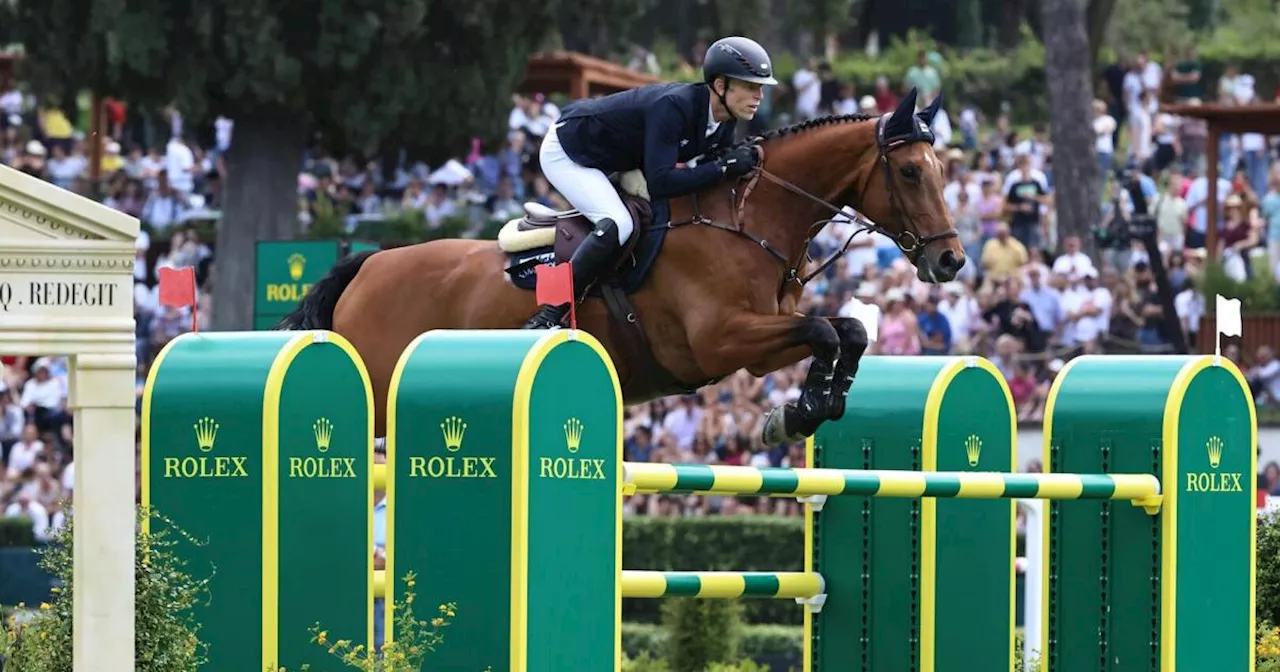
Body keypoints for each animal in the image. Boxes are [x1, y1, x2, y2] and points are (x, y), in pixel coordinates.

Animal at [277, 88, 962, 445]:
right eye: (909, 171)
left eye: (942, 170)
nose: (950, 259)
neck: (749, 220)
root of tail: (367, 266)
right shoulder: (722, 340)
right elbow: (824, 329)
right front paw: (798, 412)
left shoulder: (758, 348)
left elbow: (847, 331)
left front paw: (809, 407)